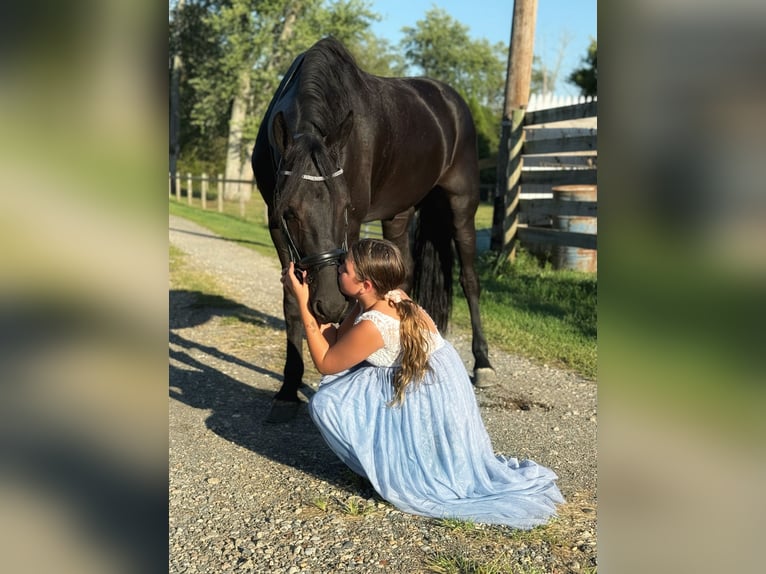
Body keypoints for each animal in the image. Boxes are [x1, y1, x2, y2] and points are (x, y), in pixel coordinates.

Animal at [252, 37, 495, 422]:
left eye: (345, 207)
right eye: (290, 212)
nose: (329, 305)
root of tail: (449, 99)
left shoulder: (352, 227)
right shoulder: (275, 223)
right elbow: (292, 300)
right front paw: (288, 389)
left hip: (463, 204)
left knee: (469, 279)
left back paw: (482, 362)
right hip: (399, 214)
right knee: (404, 276)